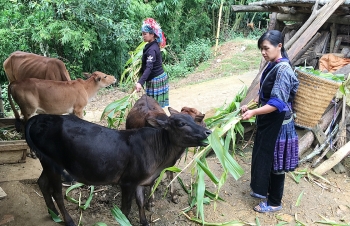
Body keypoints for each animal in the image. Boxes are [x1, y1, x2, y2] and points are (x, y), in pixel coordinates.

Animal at [25, 112, 211, 225]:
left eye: (194, 120)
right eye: (181, 123)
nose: (208, 132)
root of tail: (40, 117)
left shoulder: (140, 181)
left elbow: (141, 202)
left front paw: (144, 221)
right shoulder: (127, 182)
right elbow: (126, 209)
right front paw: (124, 221)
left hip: (46, 162)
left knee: (42, 183)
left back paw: (53, 213)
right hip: (53, 164)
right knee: (56, 192)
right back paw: (68, 220)